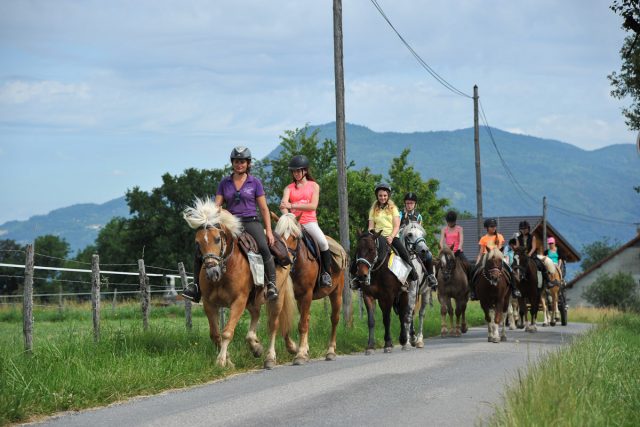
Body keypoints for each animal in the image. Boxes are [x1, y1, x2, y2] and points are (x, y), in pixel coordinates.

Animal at [184, 199, 296, 370]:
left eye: (217, 239)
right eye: (198, 242)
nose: (212, 273)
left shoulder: (238, 301)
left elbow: (227, 332)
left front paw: (221, 361)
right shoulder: (209, 304)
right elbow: (215, 334)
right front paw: (229, 360)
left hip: (277, 297)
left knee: (274, 324)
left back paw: (270, 357)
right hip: (252, 300)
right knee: (256, 315)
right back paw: (256, 346)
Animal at [272, 212, 348, 366]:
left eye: (294, 237)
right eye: (278, 237)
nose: (285, 259)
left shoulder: (306, 294)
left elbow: (301, 324)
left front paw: (300, 354)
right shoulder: (292, 296)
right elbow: (288, 322)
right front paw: (295, 348)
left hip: (336, 294)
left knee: (334, 319)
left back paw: (330, 351)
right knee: (307, 318)